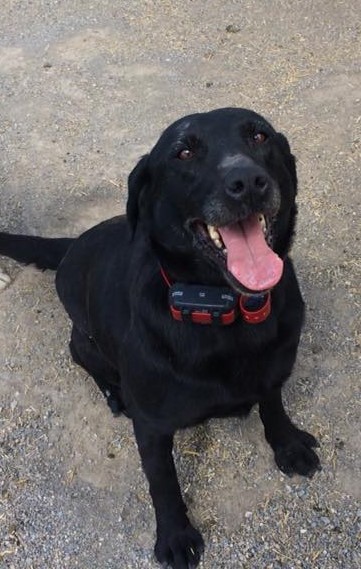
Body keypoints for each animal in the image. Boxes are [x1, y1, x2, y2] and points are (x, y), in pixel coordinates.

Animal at [0, 108, 320, 564]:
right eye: (183, 151)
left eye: (260, 136)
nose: (247, 181)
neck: (222, 308)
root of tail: (72, 244)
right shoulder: (151, 426)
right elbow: (163, 481)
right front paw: (175, 535)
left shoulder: (273, 367)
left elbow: (272, 403)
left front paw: (288, 443)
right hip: (87, 337)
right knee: (78, 352)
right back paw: (114, 392)